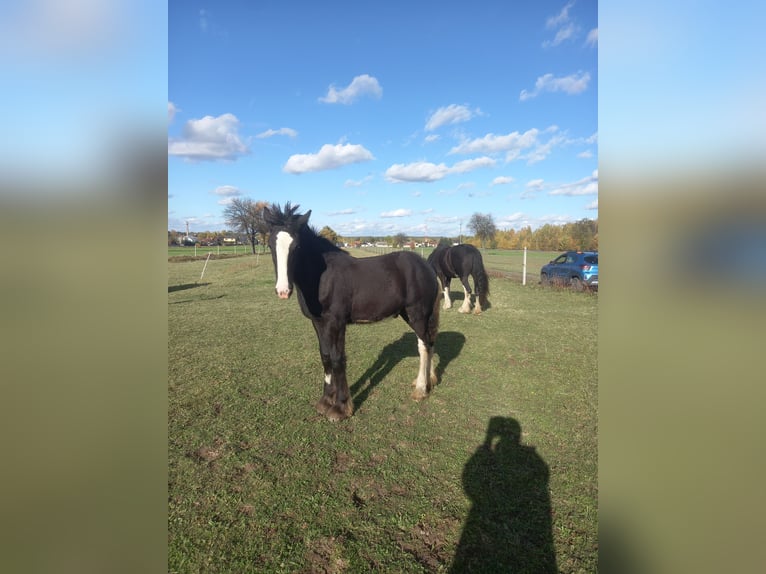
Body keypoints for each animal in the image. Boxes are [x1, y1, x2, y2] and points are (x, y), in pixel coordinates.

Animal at [263, 202, 441, 422]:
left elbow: (338, 359)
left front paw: (340, 407)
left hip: (418, 314)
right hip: (412, 315)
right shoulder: (318, 323)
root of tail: (427, 266)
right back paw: (428, 380)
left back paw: (421, 389)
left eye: (296, 246)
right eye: (270, 245)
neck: (322, 277)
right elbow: (325, 356)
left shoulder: (336, 323)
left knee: (424, 346)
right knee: (429, 343)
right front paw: (325, 401)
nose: (283, 291)